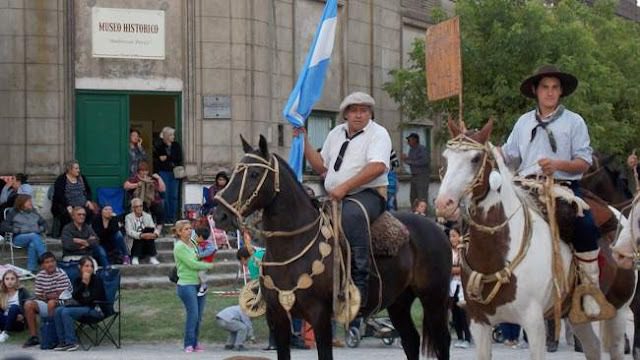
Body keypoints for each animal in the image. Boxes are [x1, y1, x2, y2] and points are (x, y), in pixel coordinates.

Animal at [214, 136, 450, 360]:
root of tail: (437, 227)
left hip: (434, 299)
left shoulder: (320, 316)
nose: (219, 215)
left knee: (442, 342)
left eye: (254, 174)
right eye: (235, 173)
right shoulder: (278, 317)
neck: (293, 246)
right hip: (399, 301)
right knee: (410, 340)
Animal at [436, 119, 636, 358]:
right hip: (576, 316)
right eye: (446, 157)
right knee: (593, 347)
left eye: (475, 158)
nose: (443, 203)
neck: (496, 251)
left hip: (619, 311)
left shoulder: (533, 323)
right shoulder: (479, 322)